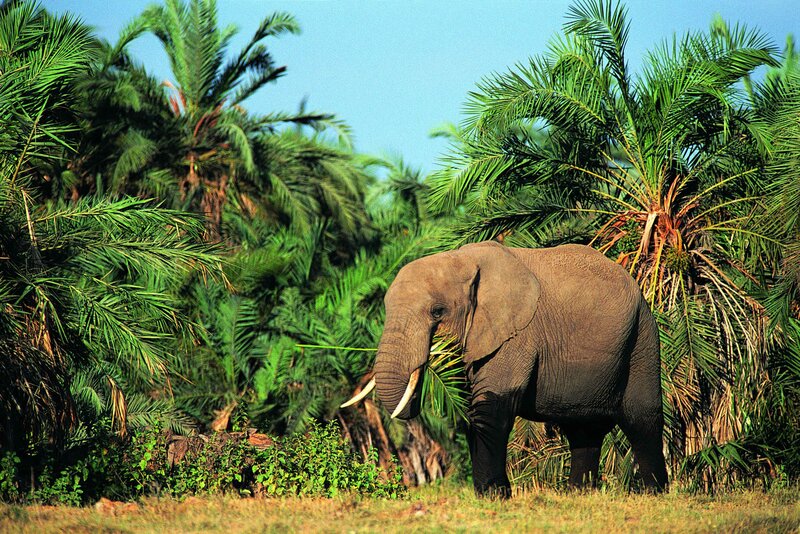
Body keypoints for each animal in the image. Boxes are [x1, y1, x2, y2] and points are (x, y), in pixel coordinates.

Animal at [341, 241, 668, 497]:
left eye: (437, 312)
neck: (461, 260)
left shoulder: (518, 334)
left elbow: (490, 406)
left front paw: (493, 496)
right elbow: (470, 408)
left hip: (642, 334)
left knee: (641, 416)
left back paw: (654, 492)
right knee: (582, 428)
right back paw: (579, 493)